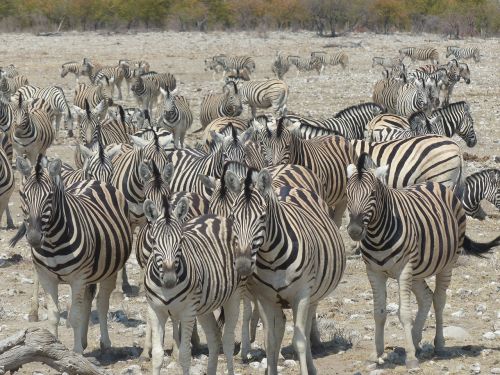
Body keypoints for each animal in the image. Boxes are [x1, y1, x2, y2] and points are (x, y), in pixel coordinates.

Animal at [13, 156, 133, 356]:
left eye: (50, 196)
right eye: (23, 195)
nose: (34, 238)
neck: (53, 242)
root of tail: (94, 180)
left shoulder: (78, 278)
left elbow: (75, 316)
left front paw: (76, 353)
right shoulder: (47, 277)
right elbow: (54, 315)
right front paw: (52, 347)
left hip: (109, 269)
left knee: (101, 302)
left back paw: (104, 343)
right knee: (88, 299)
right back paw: (84, 341)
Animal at [143, 197, 242, 375]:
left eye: (181, 240)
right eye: (154, 241)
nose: (169, 280)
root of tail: (217, 217)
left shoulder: (188, 312)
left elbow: (184, 354)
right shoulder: (155, 311)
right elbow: (158, 354)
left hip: (234, 295)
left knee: (228, 340)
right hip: (204, 307)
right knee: (214, 337)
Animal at [224, 169, 346, 374]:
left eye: (262, 217)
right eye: (233, 217)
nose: (242, 265)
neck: (271, 259)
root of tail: (288, 187)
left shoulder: (302, 294)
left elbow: (299, 341)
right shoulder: (264, 298)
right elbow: (271, 341)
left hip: (313, 295)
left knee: (306, 327)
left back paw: (312, 366)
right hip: (278, 300)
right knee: (281, 326)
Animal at [346, 153, 498, 370]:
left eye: (373, 194)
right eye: (347, 193)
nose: (354, 231)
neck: (377, 235)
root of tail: (434, 183)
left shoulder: (403, 270)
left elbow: (404, 314)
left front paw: (410, 358)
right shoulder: (374, 272)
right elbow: (379, 313)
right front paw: (377, 355)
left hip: (446, 264)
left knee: (439, 299)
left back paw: (439, 345)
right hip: (417, 269)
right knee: (426, 297)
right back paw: (416, 340)